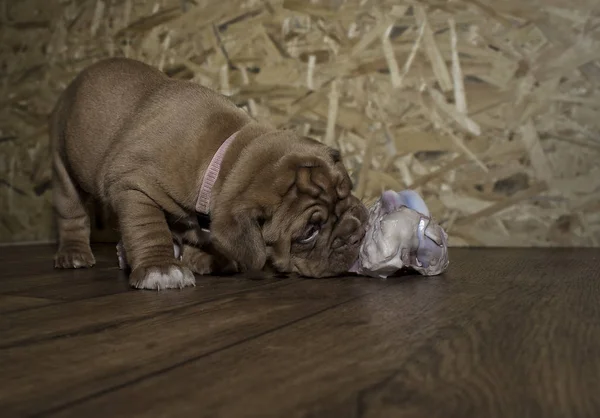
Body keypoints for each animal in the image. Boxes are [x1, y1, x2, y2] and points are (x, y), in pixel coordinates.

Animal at [51, 57, 368, 290]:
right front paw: (159, 268)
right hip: (63, 168)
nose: (354, 234)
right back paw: (74, 253)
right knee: (72, 215)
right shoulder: (134, 187)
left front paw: (204, 258)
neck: (226, 159)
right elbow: (148, 228)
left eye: (347, 188)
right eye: (309, 233)